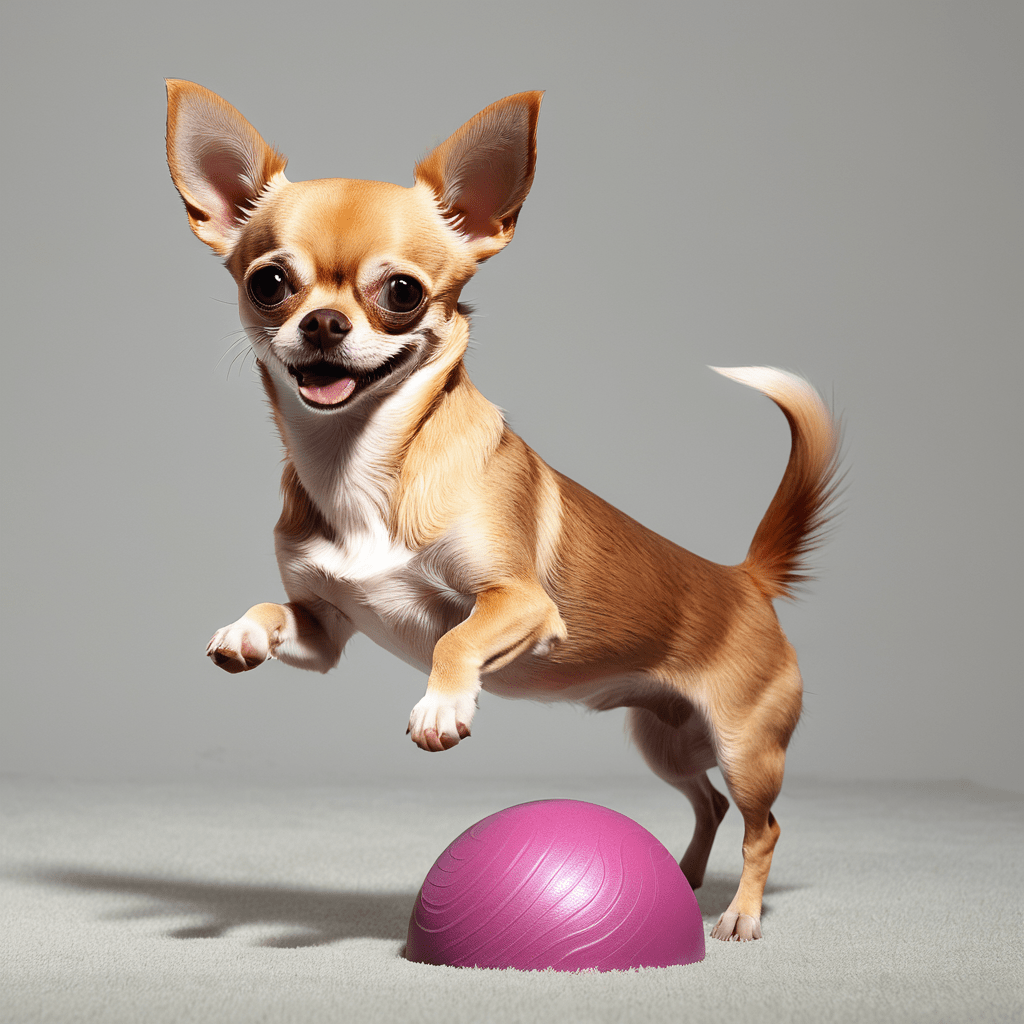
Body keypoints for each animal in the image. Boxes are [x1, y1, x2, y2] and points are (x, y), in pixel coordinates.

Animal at [165, 81, 839, 942]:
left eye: (402, 293)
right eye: (270, 284)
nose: (321, 322)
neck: (359, 467)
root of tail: (743, 577)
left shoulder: (522, 605)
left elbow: (456, 636)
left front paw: (441, 707)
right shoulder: (325, 632)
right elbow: (276, 610)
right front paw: (245, 632)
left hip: (747, 744)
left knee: (763, 824)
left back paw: (741, 915)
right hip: (667, 738)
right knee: (711, 803)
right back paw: (686, 878)